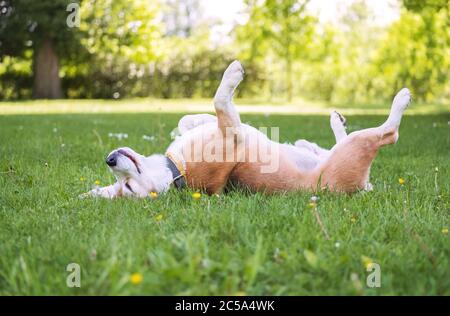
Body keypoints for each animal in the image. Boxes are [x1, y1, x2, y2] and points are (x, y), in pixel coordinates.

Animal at [84, 59, 412, 198]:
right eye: (127, 187)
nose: (109, 160)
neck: (176, 169)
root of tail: (361, 188)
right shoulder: (232, 134)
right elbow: (220, 101)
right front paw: (232, 75)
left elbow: (188, 119)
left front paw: (194, 119)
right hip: (357, 146)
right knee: (389, 133)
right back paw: (401, 99)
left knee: (329, 142)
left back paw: (323, 131)